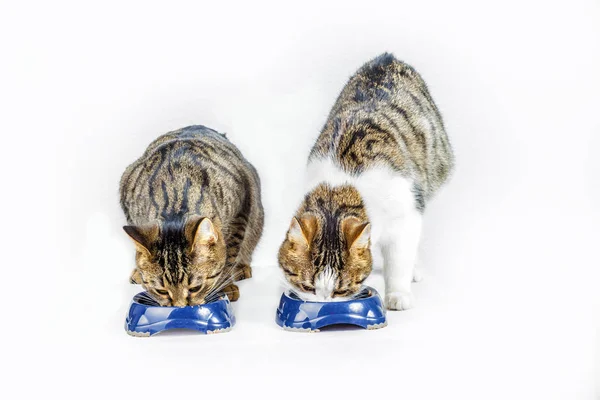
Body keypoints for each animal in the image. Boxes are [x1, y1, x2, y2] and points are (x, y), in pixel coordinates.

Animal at [119, 125, 262, 306]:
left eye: (195, 288)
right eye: (161, 291)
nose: (180, 307)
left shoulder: (241, 210)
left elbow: (229, 255)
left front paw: (225, 286)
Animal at [278, 52, 452, 310]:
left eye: (340, 291)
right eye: (307, 287)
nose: (323, 303)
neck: (339, 184)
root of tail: (388, 57)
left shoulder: (408, 210)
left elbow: (400, 258)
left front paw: (398, 293)